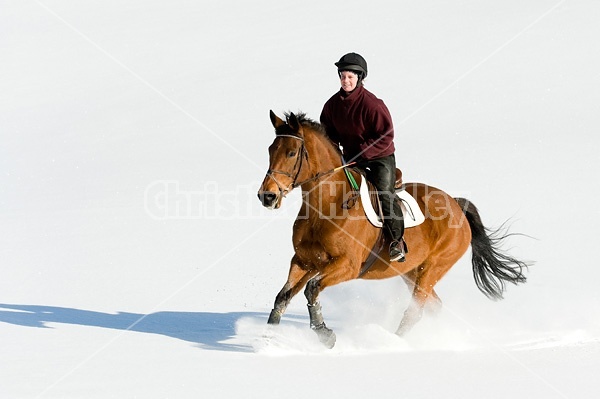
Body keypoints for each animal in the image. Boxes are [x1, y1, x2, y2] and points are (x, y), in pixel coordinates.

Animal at [255, 111, 528, 348]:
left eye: (292, 152)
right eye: (270, 150)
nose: (267, 196)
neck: (328, 206)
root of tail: (457, 203)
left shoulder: (347, 265)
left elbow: (311, 290)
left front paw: (325, 335)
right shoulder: (304, 261)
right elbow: (283, 297)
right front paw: (267, 339)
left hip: (433, 268)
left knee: (415, 311)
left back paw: (389, 342)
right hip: (411, 272)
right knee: (433, 306)